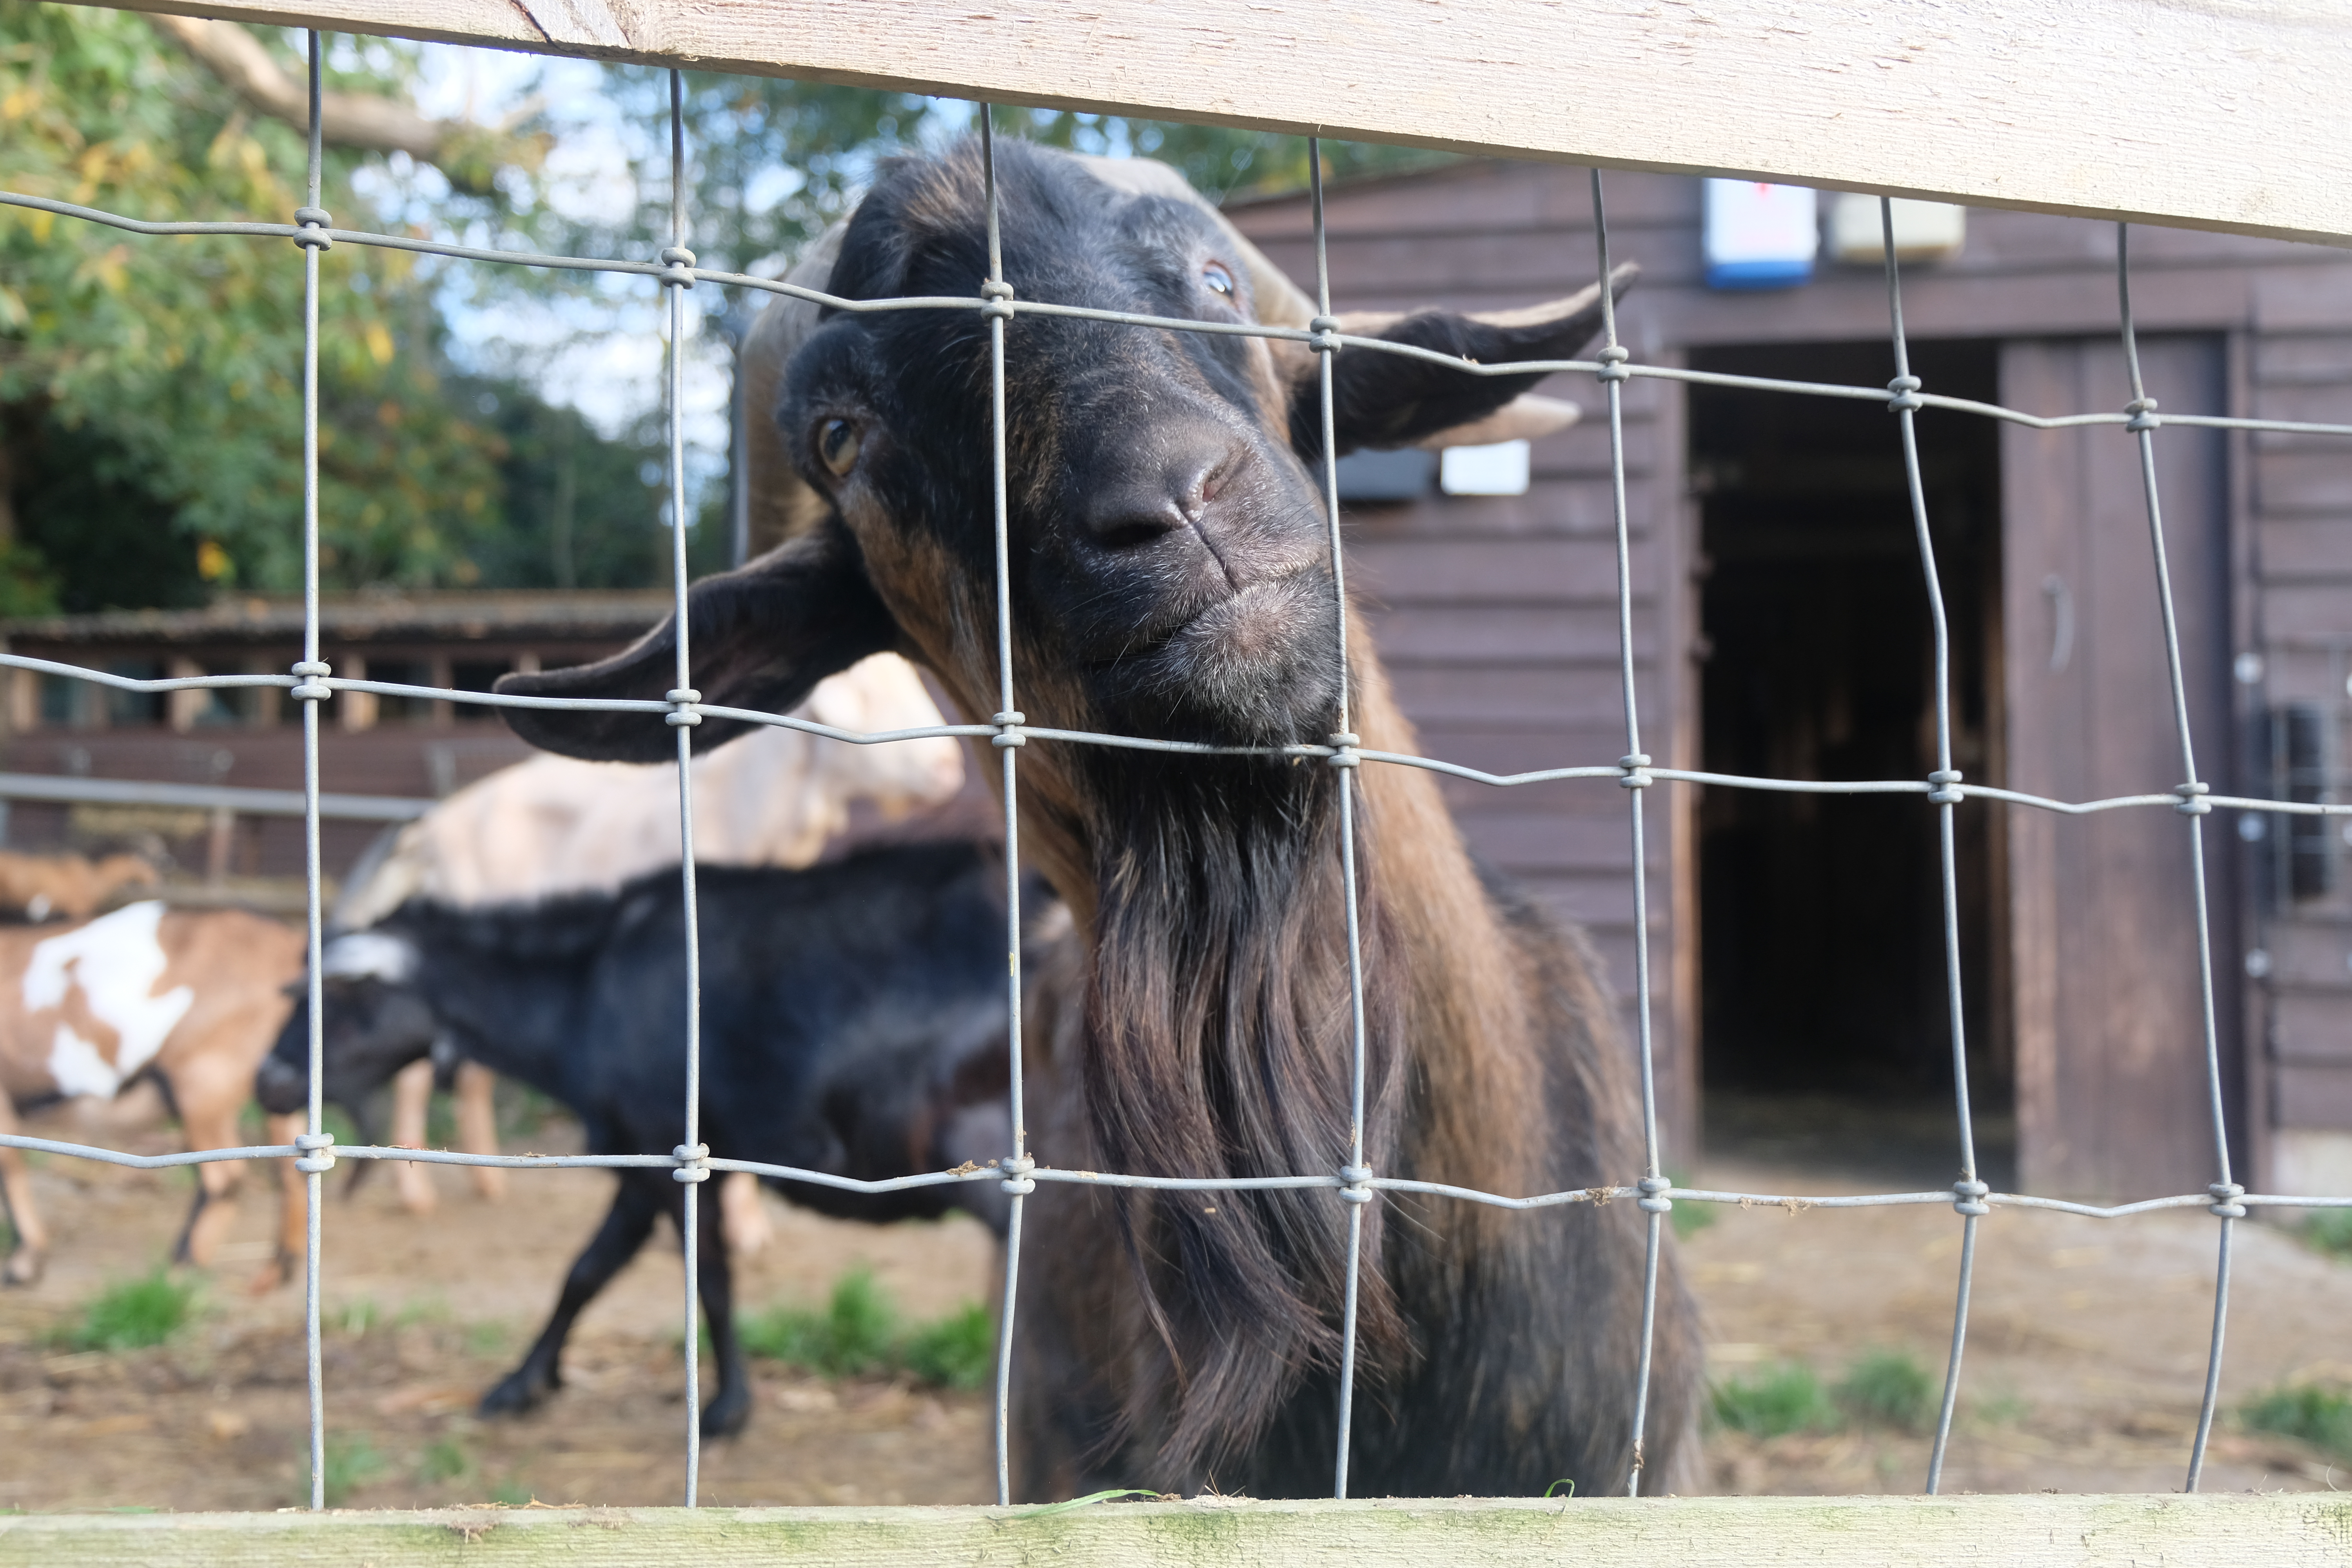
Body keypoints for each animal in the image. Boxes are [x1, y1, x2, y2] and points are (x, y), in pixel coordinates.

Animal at [0, 901, 305, 1286]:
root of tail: (288, 947)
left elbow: (9, 1170)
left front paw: (24, 1263)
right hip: (276, 1085)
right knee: (288, 1172)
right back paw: (278, 1269)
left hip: (205, 1078)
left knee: (225, 1178)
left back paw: (183, 1267)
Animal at [255, 842, 1046, 1437]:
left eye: (339, 1001)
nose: (269, 1080)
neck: (586, 988)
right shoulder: (641, 1167)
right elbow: (586, 1271)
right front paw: (523, 1383)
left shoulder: (665, 1147)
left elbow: (710, 1279)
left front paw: (726, 1410)